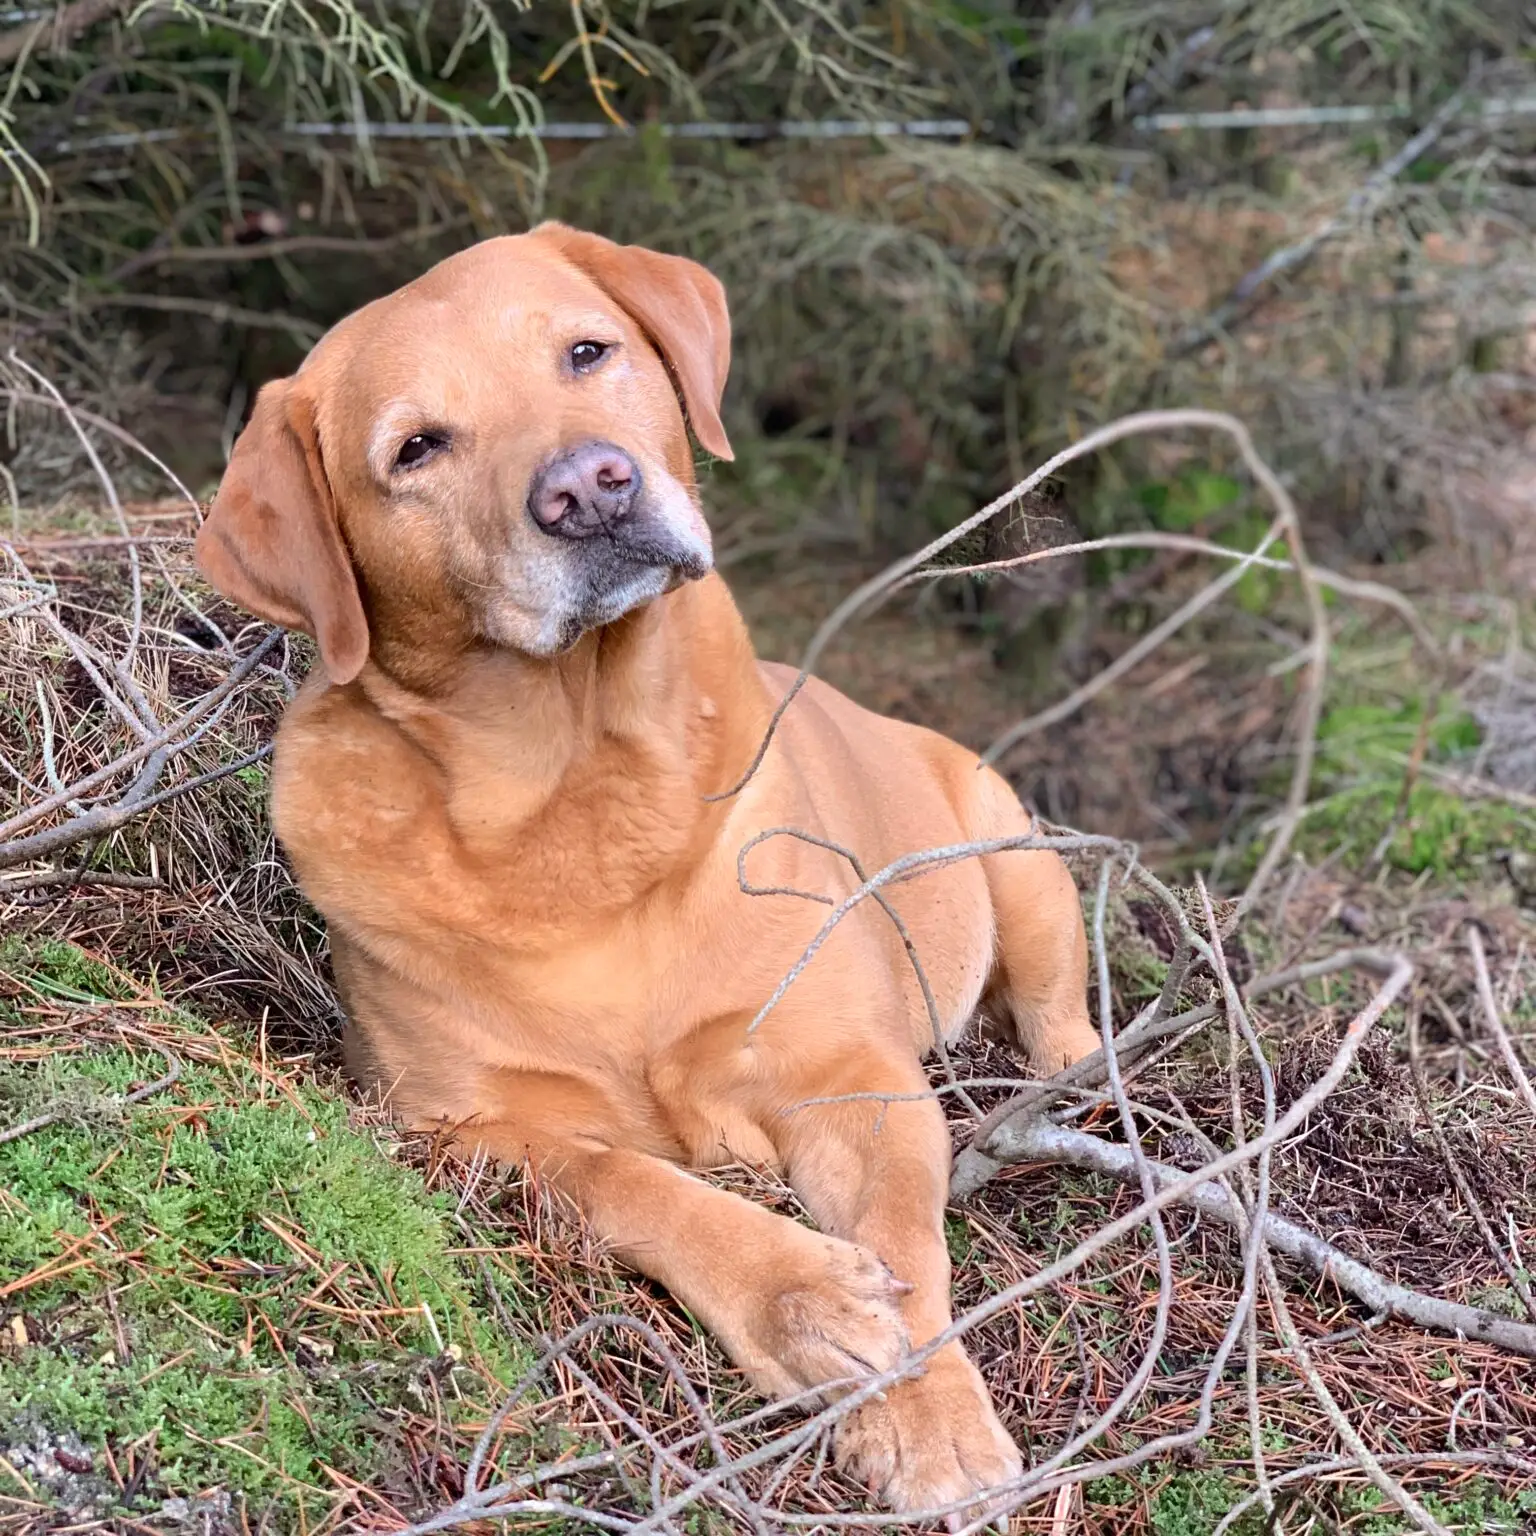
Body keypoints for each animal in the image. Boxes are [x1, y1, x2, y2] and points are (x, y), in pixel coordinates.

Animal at [198, 222, 1105, 1517]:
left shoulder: (848, 1074)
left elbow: (904, 1243)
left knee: (1058, 1013)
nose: (588, 488)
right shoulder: (456, 1128)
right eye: (417, 448)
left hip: (1015, 853)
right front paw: (802, 1299)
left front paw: (931, 1422)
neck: (577, 791)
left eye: (589, 352)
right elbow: (632, 1185)